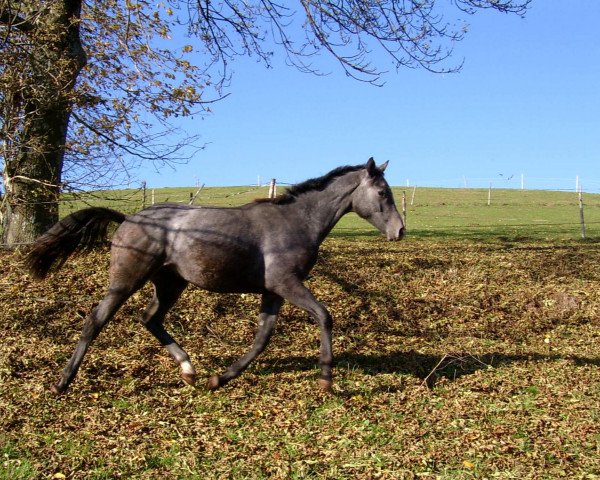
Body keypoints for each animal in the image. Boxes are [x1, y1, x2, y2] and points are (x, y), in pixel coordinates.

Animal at [25, 158, 406, 394]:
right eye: (382, 193)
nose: (400, 231)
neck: (297, 221)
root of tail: (129, 218)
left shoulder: (273, 291)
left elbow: (262, 338)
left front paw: (219, 379)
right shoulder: (287, 284)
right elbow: (324, 316)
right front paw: (326, 380)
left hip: (170, 283)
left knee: (150, 318)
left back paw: (189, 370)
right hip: (126, 281)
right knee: (96, 321)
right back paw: (62, 382)